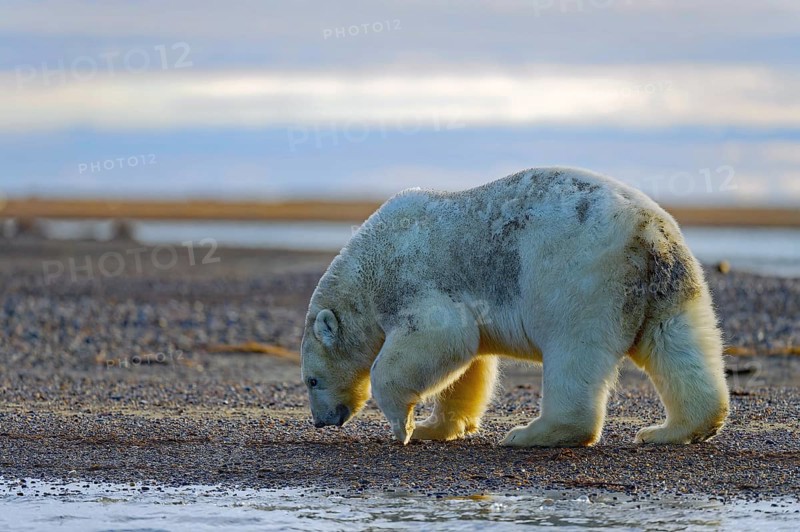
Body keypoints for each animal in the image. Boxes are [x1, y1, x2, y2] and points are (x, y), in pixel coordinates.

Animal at [300, 166, 730, 447]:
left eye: (311, 380)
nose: (322, 421)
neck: (368, 267)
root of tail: (647, 231)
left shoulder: (414, 280)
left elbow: (439, 336)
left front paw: (402, 427)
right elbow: (468, 363)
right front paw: (433, 426)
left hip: (578, 276)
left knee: (573, 351)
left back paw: (530, 433)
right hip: (668, 280)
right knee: (678, 342)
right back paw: (673, 429)